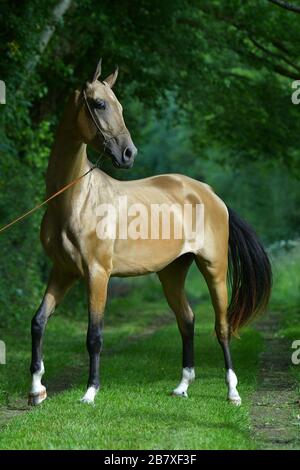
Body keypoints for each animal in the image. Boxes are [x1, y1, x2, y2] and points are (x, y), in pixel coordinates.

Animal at [28, 57, 272, 404]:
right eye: (100, 104)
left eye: (119, 105)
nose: (129, 153)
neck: (75, 199)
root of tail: (211, 194)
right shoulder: (63, 272)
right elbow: (38, 322)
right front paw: (37, 389)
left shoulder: (97, 274)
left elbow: (94, 335)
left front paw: (90, 392)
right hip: (171, 272)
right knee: (186, 320)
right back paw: (182, 386)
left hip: (214, 268)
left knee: (222, 327)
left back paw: (232, 391)